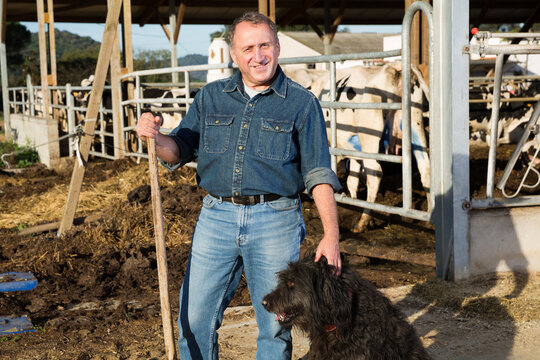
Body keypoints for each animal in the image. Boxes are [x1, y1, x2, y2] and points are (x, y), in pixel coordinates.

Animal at [284, 63, 428, 232]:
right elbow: (352, 178)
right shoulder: (351, 149)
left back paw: (363, 221)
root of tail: (394, 67)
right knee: (425, 168)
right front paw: (352, 201)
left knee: (375, 173)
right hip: (415, 125)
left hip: (370, 136)